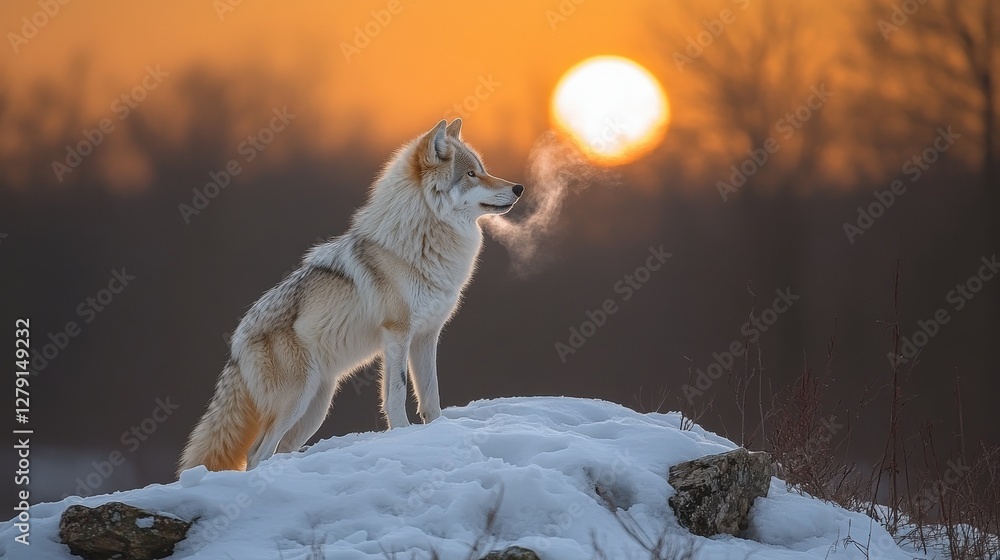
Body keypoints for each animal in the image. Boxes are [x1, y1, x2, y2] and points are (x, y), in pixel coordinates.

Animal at [178, 119, 522, 473]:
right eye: (471, 174)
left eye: (482, 170)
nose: (519, 188)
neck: (421, 241)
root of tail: (237, 341)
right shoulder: (397, 333)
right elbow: (396, 394)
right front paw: (403, 436)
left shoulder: (426, 335)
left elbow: (431, 397)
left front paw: (435, 434)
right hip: (296, 401)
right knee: (256, 454)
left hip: (315, 409)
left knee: (275, 450)